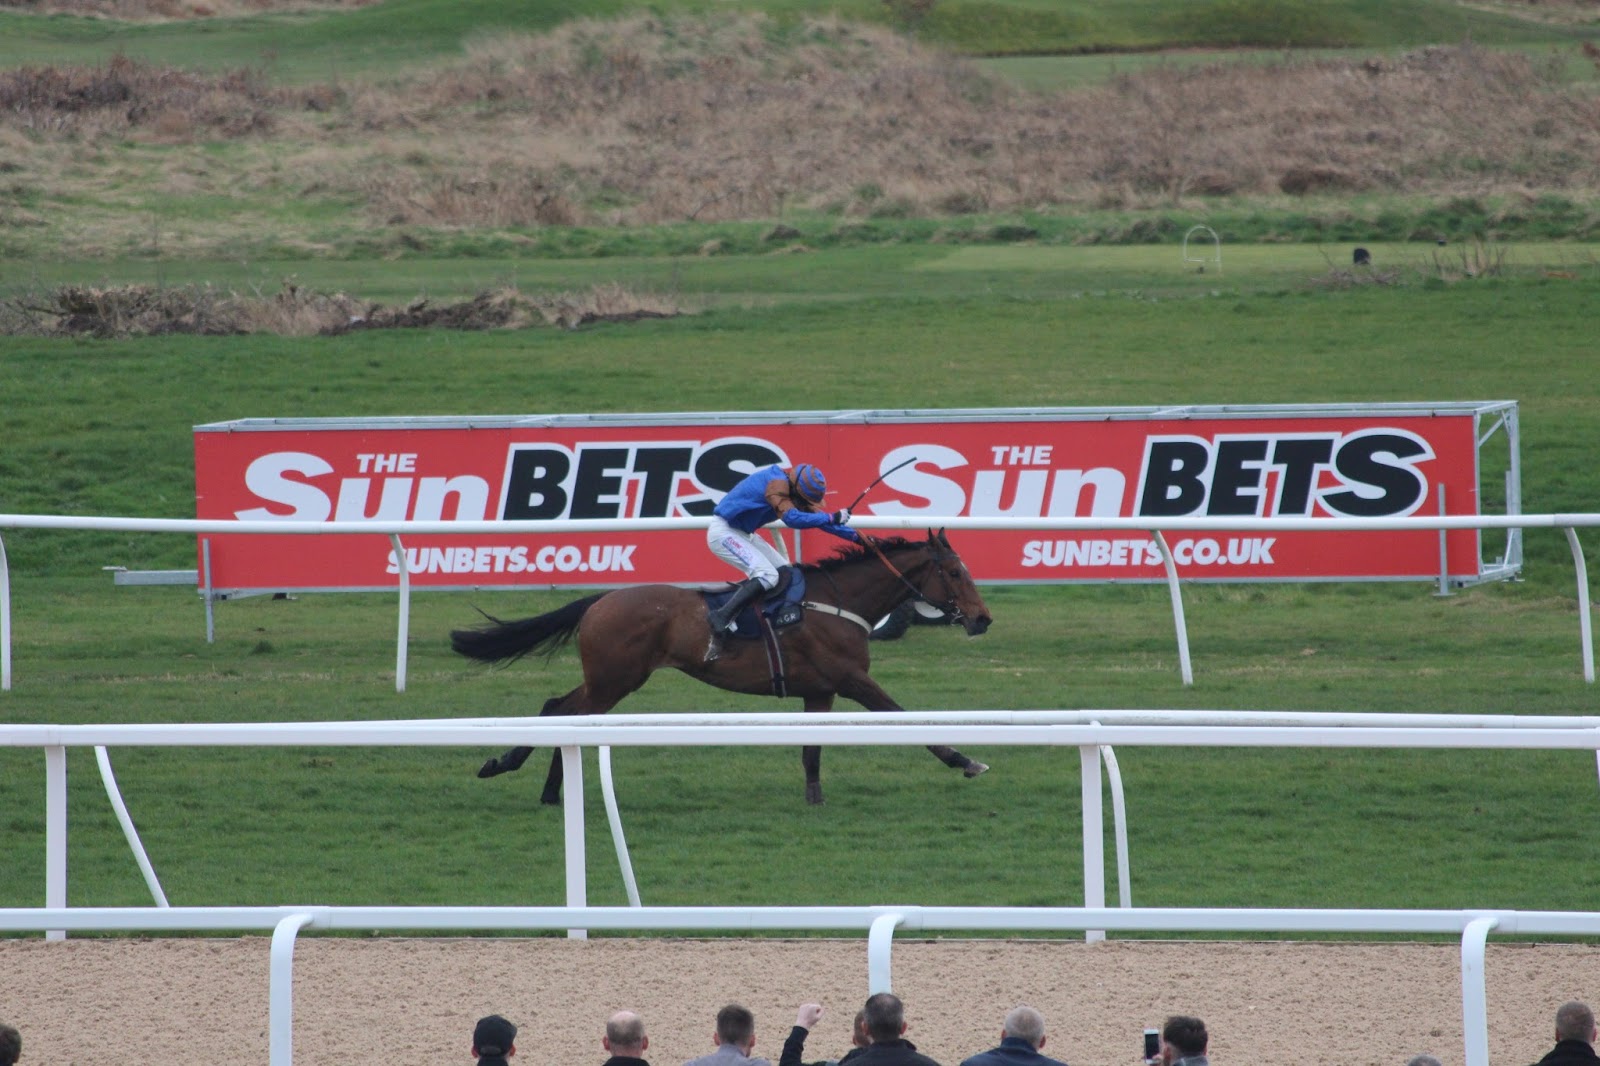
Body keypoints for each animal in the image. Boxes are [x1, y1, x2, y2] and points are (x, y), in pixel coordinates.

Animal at [450, 529, 993, 805]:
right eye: (953, 571)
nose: (983, 619)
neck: (838, 602)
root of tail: (600, 600)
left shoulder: (820, 689)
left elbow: (811, 751)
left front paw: (814, 800)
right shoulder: (850, 678)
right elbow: (905, 719)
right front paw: (965, 760)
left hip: (608, 678)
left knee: (557, 708)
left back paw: (543, 789)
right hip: (616, 679)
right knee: (564, 714)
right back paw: (516, 772)